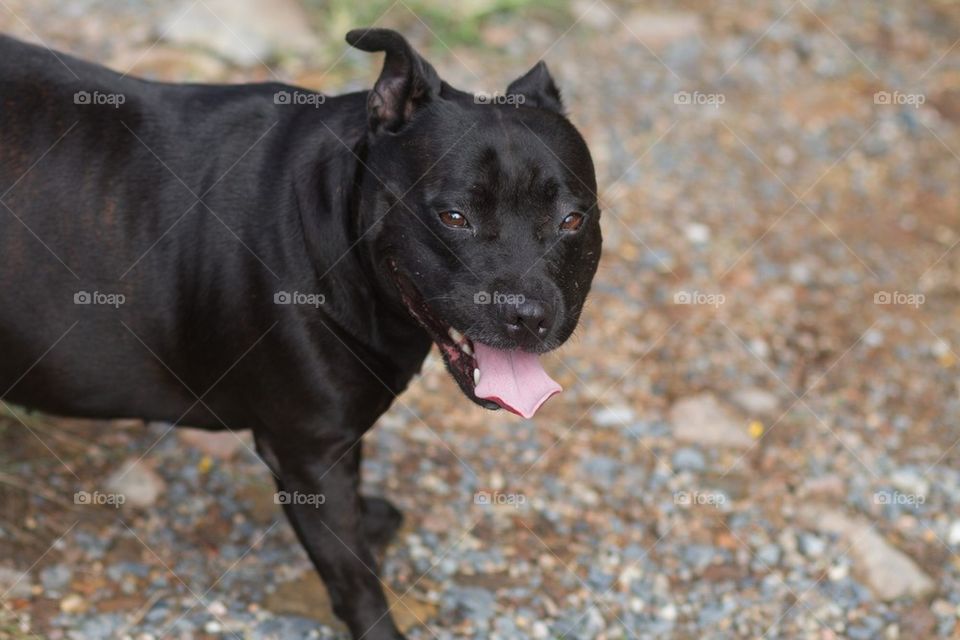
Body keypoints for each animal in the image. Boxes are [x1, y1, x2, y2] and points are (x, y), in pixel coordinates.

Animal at [0, 27, 600, 636]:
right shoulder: (309, 456)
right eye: (454, 216)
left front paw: (370, 517)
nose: (527, 314)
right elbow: (354, 578)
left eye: (573, 220)